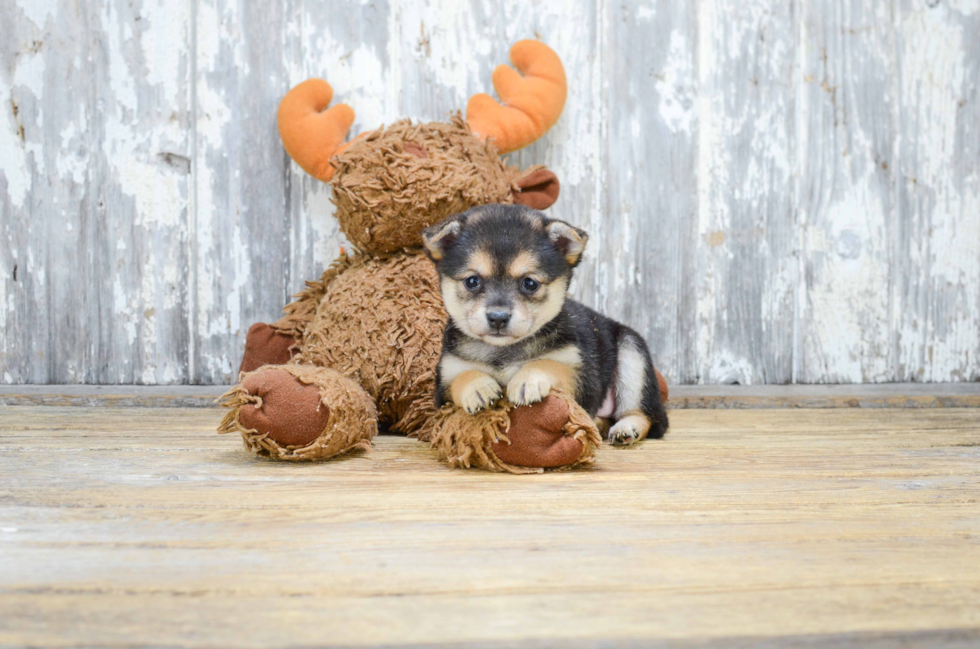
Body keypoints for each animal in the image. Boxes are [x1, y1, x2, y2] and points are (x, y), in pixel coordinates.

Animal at [422, 204, 668, 446]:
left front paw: (528, 379)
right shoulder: (444, 385)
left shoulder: (583, 378)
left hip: (632, 353)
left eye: (530, 283)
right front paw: (477, 386)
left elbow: (549, 364)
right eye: (472, 281)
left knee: (644, 415)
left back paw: (627, 428)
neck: (504, 352)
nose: (498, 317)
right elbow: (462, 376)